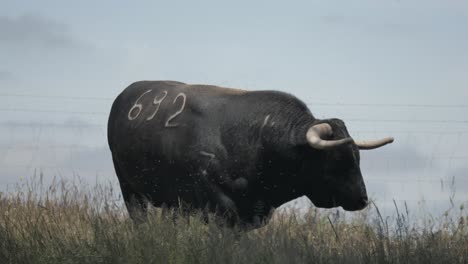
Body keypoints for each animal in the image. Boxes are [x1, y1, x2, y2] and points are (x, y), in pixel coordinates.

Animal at [108, 81, 394, 227]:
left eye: (357, 157)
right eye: (337, 160)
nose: (362, 198)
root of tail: (125, 94)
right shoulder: (216, 202)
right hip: (129, 188)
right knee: (140, 218)